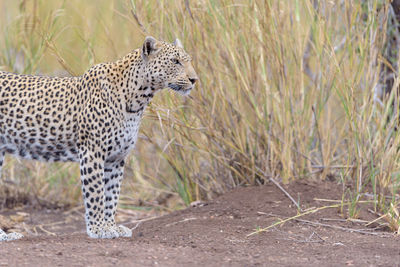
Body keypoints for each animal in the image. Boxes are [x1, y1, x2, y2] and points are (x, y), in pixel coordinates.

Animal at [0, 35, 198, 241]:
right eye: (175, 61)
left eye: (189, 61)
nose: (194, 79)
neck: (138, 99)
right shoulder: (92, 152)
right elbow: (95, 194)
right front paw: (97, 229)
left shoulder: (116, 158)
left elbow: (112, 195)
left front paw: (111, 227)